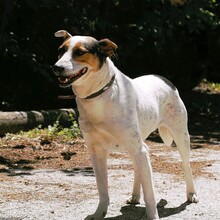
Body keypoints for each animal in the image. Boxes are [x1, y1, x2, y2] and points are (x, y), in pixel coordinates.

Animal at [52, 30, 198, 220]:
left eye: (79, 52)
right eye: (60, 51)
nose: (56, 68)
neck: (98, 96)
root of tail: (164, 79)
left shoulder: (139, 149)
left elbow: (150, 194)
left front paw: (152, 215)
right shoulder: (97, 153)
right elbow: (103, 190)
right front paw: (99, 213)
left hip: (180, 136)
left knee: (186, 165)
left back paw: (191, 194)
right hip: (136, 146)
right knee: (138, 167)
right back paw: (135, 195)